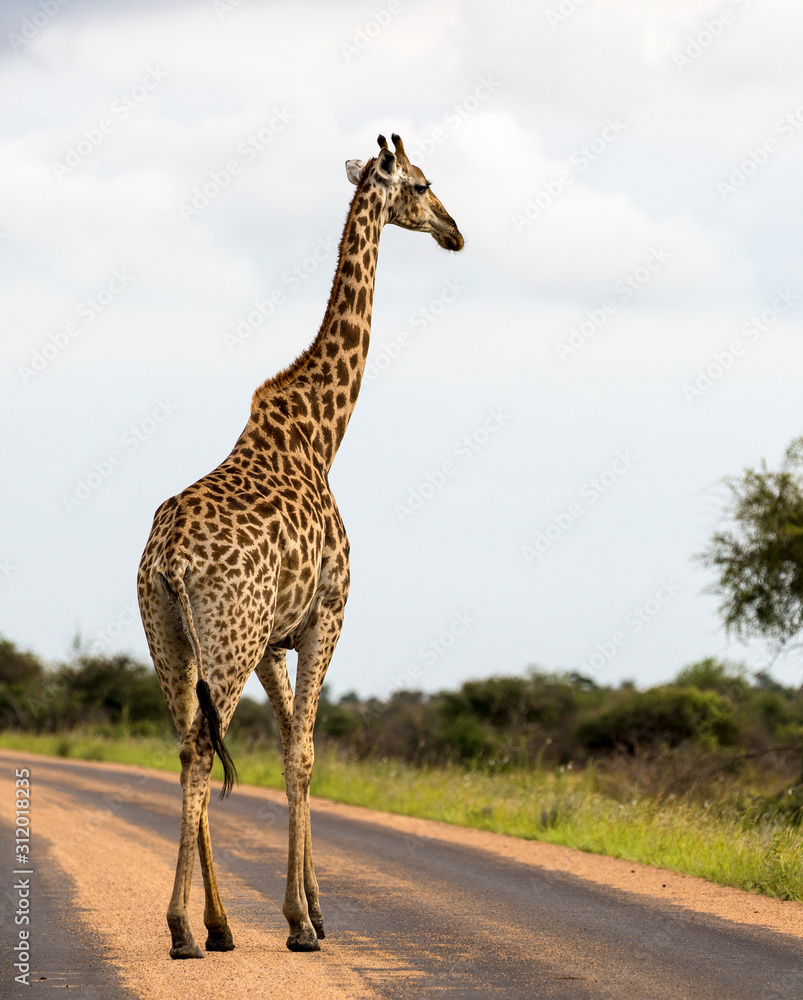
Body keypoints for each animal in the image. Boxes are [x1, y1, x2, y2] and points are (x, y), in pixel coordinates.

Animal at [137, 133, 463, 958]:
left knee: (186, 744)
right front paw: (300, 921)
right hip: (226, 637)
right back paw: (184, 928)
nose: (454, 231)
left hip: (170, 638)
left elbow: (287, 745)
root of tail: (167, 560)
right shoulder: (327, 613)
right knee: (201, 750)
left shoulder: (275, 640)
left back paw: (220, 925)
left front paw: (311, 907)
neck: (322, 434)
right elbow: (307, 751)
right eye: (422, 184)